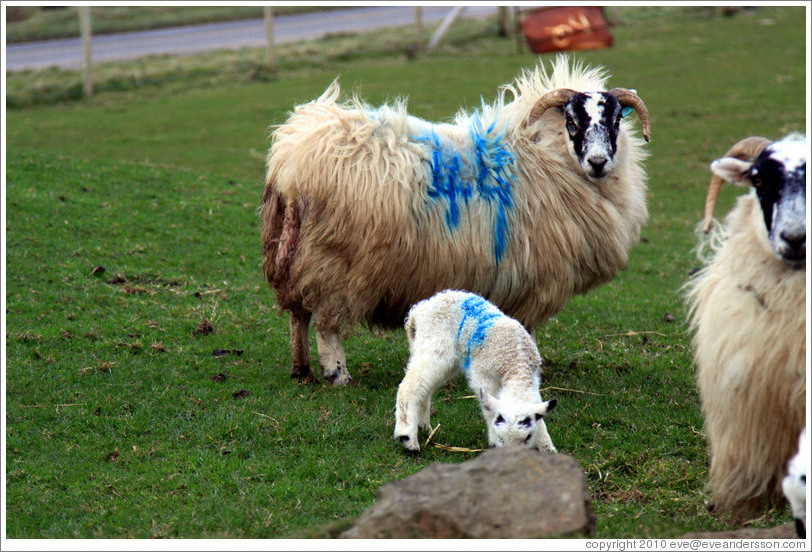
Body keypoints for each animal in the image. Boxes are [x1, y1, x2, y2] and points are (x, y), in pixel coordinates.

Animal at [264, 55, 652, 384]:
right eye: (572, 121)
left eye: (617, 121)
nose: (598, 162)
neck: (546, 156)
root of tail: (291, 163)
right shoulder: (536, 279)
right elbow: (526, 328)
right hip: (334, 262)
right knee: (325, 321)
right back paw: (337, 374)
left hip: (295, 252)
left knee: (297, 312)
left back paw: (301, 370)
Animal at [394, 288, 560, 452]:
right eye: (501, 438)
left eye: (528, 437)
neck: (515, 363)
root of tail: (418, 311)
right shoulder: (483, 376)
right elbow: (489, 407)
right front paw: (493, 441)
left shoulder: (533, 379)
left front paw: (547, 447)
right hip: (436, 347)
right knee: (410, 386)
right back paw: (408, 438)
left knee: (424, 388)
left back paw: (424, 426)